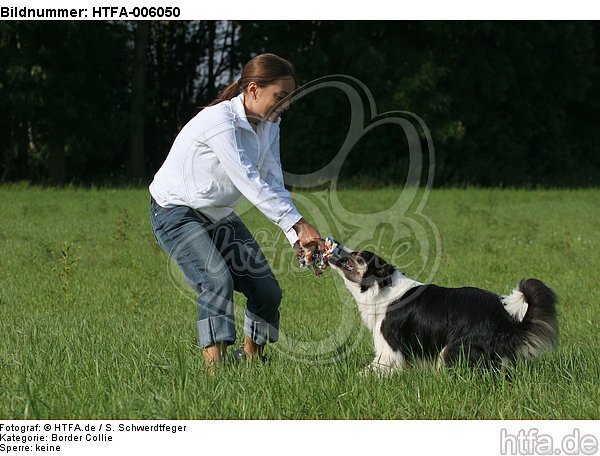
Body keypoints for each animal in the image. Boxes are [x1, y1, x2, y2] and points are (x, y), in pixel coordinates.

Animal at [328, 249, 556, 374]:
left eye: (358, 256)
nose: (337, 251)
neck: (381, 288)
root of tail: (506, 319)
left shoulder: (390, 349)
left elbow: (369, 371)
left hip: (454, 348)